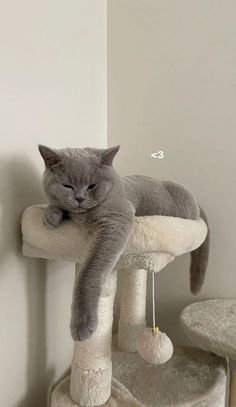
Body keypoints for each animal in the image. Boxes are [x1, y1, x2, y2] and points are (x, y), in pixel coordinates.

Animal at [39, 145, 210, 342]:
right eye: (67, 185)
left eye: (92, 185)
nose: (80, 198)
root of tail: (195, 200)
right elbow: (57, 206)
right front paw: (51, 215)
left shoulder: (116, 221)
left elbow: (89, 271)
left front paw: (82, 324)